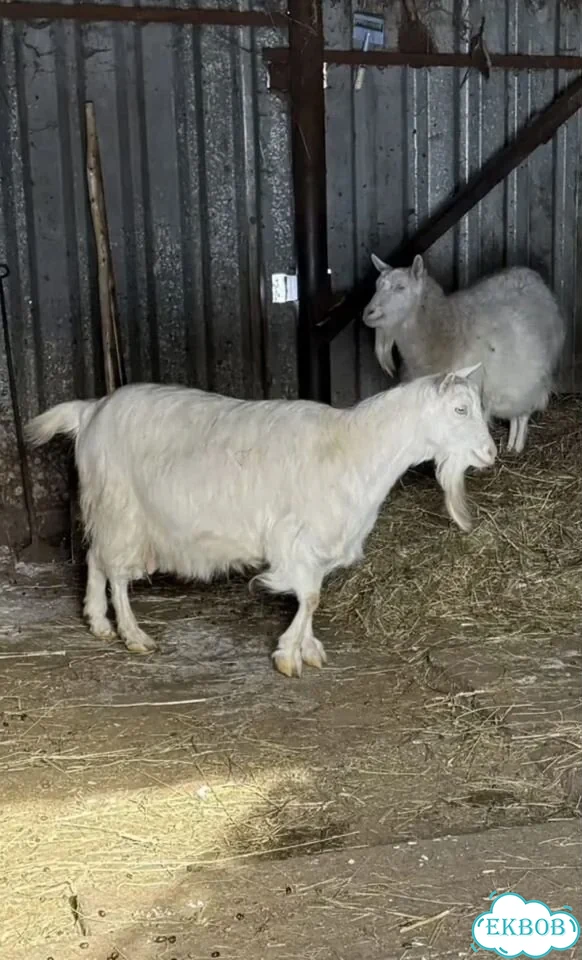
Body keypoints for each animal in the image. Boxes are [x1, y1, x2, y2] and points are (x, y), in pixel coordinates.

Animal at [25, 374, 496, 677]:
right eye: (459, 409)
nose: (491, 453)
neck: (355, 448)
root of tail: (91, 410)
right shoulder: (297, 538)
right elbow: (309, 596)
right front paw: (288, 655)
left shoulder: (319, 544)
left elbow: (313, 596)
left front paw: (308, 648)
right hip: (124, 507)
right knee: (117, 572)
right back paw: (133, 633)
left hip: (107, 507)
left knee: (95, 556)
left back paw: (99, 623)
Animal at [363, 255, 566, 454]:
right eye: (376, 285)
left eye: (401, 287)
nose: (368, 313)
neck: (450, 334)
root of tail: (531, 275)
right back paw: (510, 444)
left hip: (534, 376)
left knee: (524, 413)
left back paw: (518, 444)